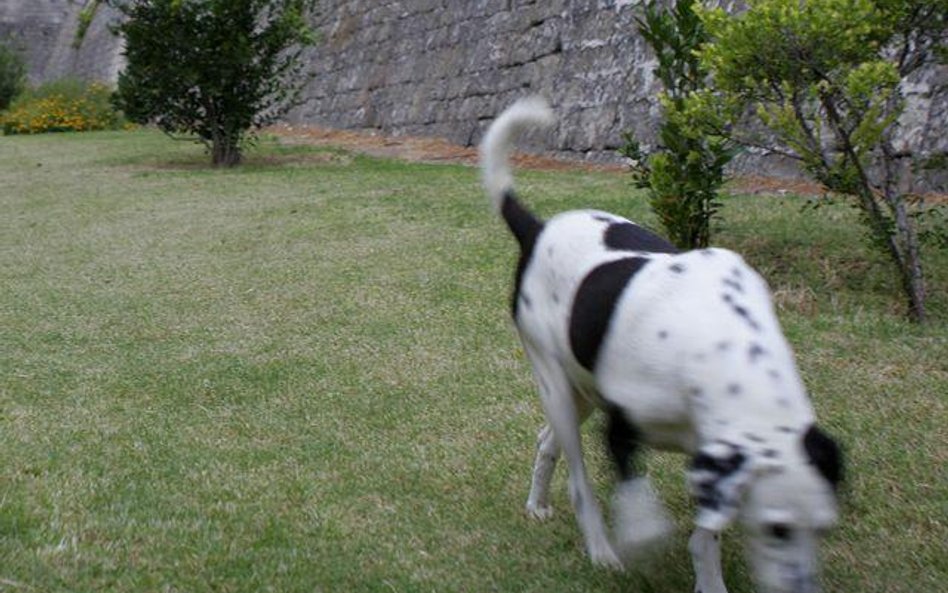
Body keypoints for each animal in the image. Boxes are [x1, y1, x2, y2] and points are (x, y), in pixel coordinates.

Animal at [482, 98, 844, 592]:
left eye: (823, 528)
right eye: (778, 529)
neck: (721, 353)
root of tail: (538, 230)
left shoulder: (710, 461)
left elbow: (706, 534)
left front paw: (709, 581)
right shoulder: (621, 429)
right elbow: (641, 510)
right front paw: (642, 541)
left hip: (581, 392)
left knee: (545, 441)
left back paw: (538, 504)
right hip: (557, 387)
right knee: (579, 484)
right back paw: (600, 548)